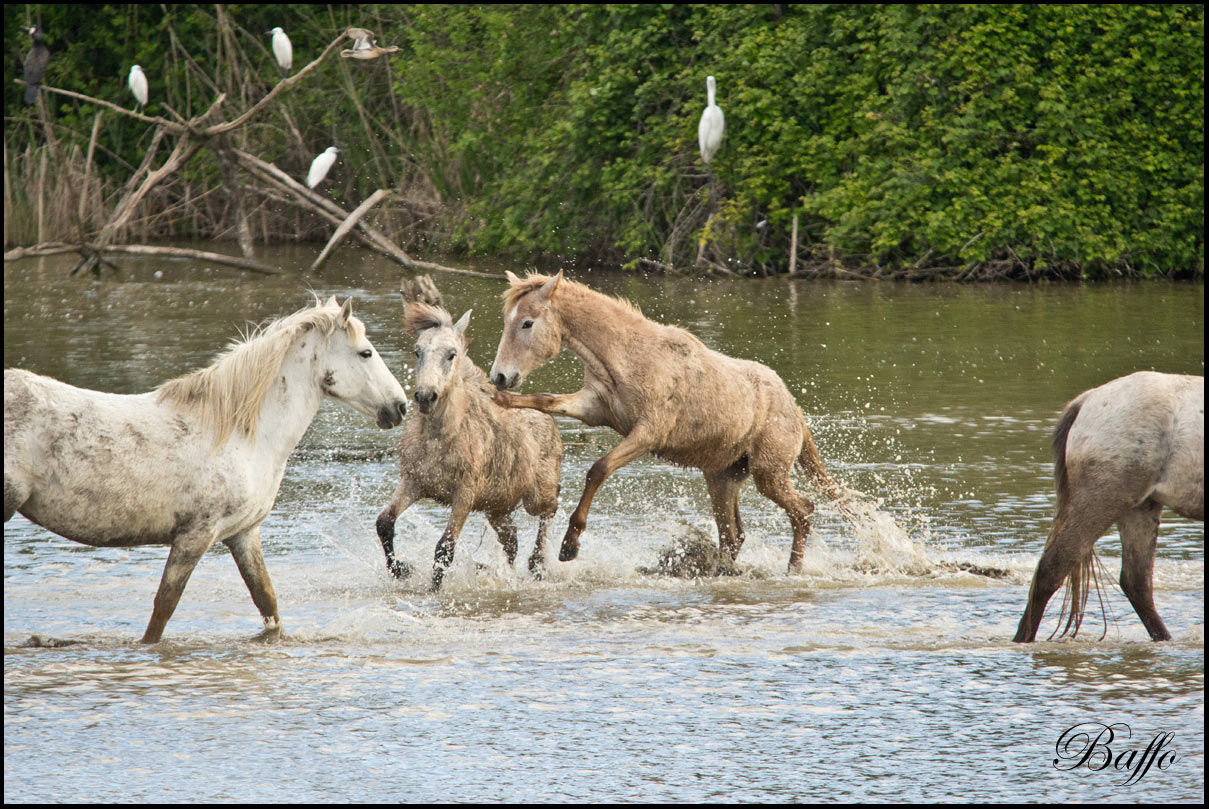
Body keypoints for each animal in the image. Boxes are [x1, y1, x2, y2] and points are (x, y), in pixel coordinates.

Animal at [2, 293, 411, 638]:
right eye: (365, 353)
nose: (401, 406)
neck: (242, 435)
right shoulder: (194, 536)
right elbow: (163, 611)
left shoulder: (243, 535)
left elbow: (268, 604)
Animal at [372, 301, 560, 587]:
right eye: (417, 351)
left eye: (451, 354)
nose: (426, 397)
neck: (440, 439)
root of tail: (550, 420)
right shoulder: (413, 481)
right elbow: (384, 522)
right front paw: (402, 569)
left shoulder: (464, 494)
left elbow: (444, 548)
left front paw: (432, 588)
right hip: (497, 508)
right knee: (511, 540)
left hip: (536, 496)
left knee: (551, 509)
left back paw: (538, 564)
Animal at [486, 269, 846, 568]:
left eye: (527, 323)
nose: (500, 376)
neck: (629, 355)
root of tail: (793, 409)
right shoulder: (593, 406)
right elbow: (545, 400)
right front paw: (501, 399)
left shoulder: (648, 432)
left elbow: (598, 469)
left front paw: (570, 544)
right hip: (723, 477)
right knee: (734, 535)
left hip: (769, 474)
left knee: (803, 510)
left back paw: (793, 569)